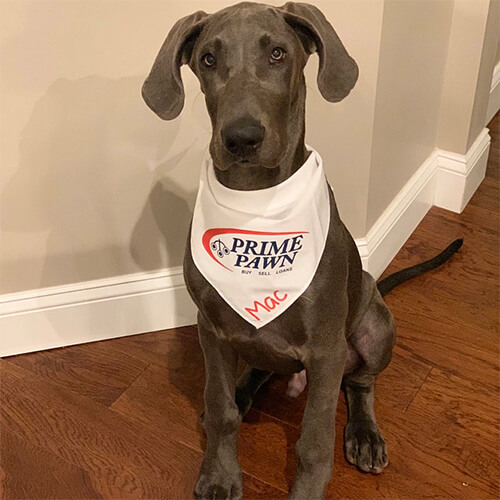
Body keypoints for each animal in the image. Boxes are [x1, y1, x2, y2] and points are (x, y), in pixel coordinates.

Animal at [143, 1, 462, 498]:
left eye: (278, 53)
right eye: (208, 59)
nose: (241, 138)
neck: (255, 205)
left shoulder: (327, 349)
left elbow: (314, 440)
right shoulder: (211, 329)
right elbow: (220, 410)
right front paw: (219, 472)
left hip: (375, 326)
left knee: (361, 382)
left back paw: (364, 435)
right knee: (258, 372)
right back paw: (244, 391)